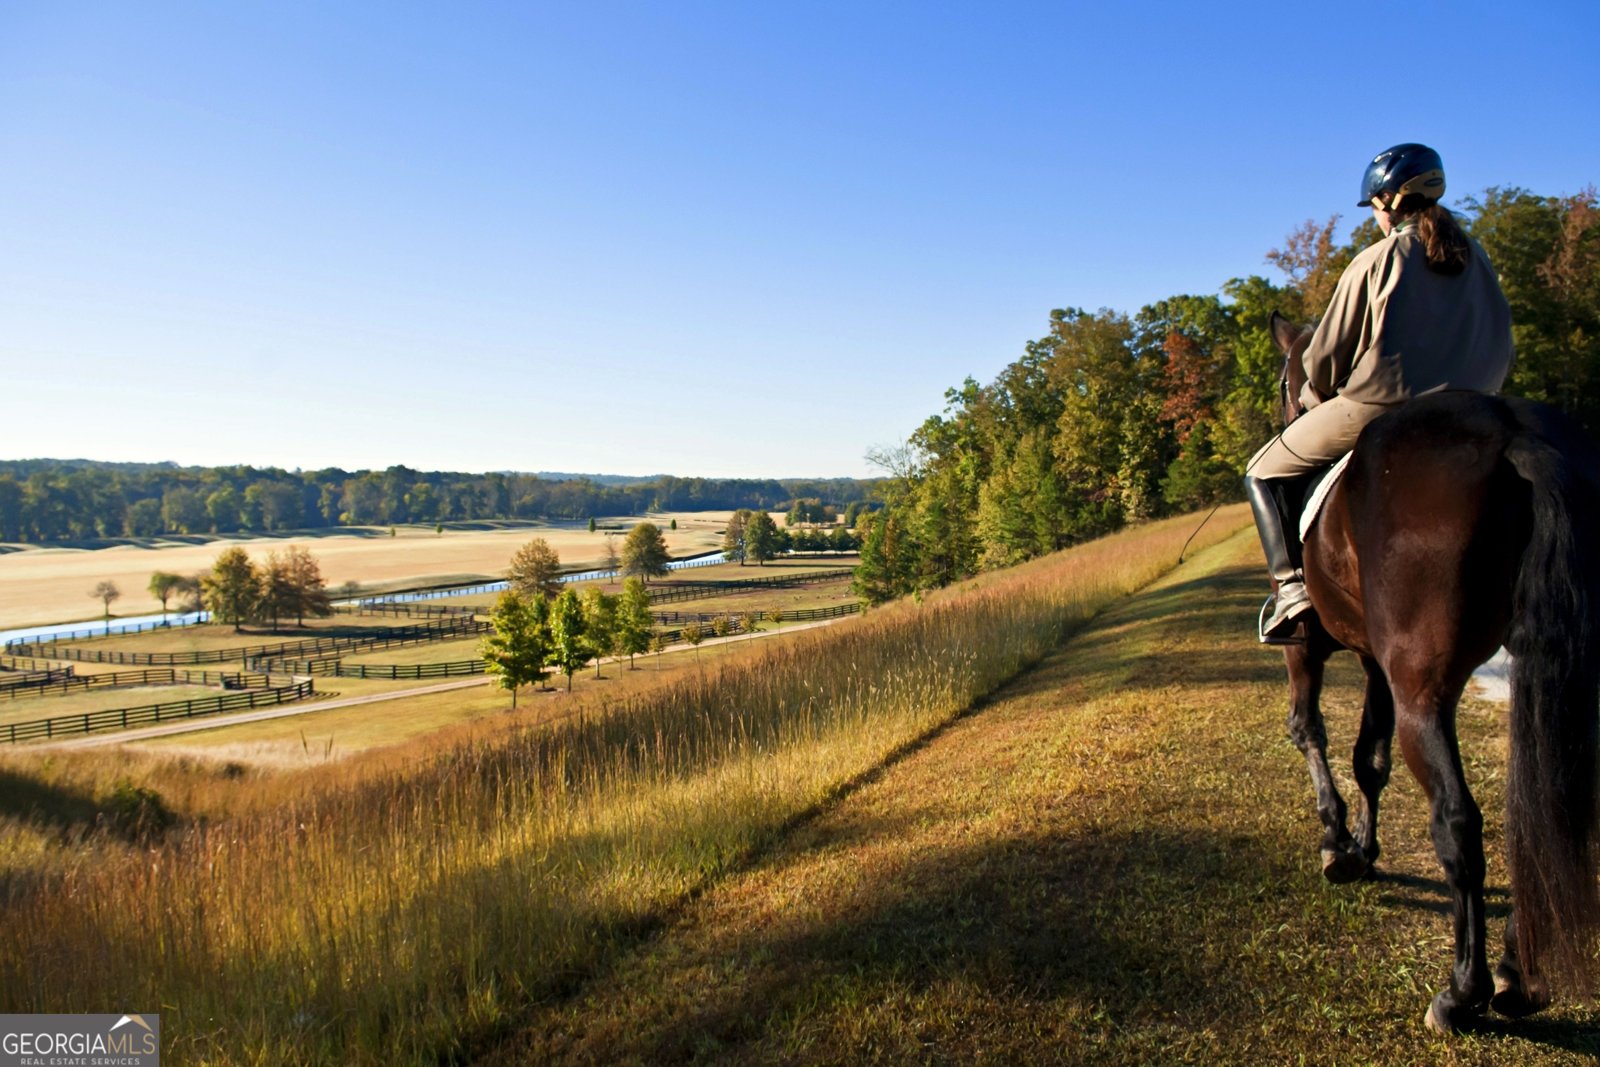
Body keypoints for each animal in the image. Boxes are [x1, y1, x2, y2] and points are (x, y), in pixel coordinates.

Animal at [1266, 310, 1600, 1034]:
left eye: (1284, 380)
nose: (1289, 412)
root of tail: (1512, 430)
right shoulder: (1373, 661)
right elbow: (1370, 757)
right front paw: (1362, 849)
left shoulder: (1307, 651)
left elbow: (1310, 732)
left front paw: (1336, 840)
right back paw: (1515, 974)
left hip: (1423, 688)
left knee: (1458, 821)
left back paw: (1463, 992)